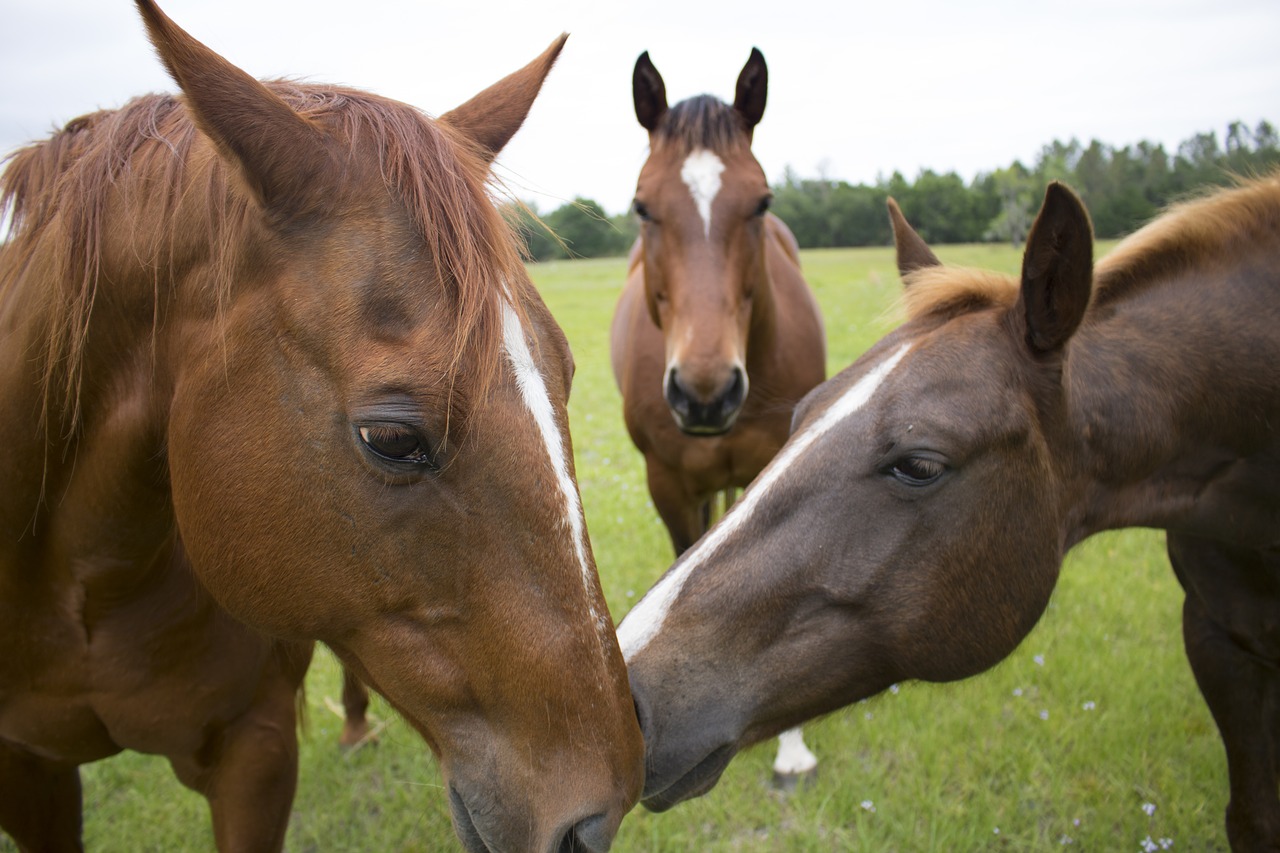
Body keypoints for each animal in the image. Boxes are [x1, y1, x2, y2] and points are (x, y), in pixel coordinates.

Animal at [0, 1, 640, 850]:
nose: (598, 815)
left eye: (567, 371)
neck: (84, 583)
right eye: (392, 437)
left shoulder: (255, 748)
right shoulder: (27, 768)